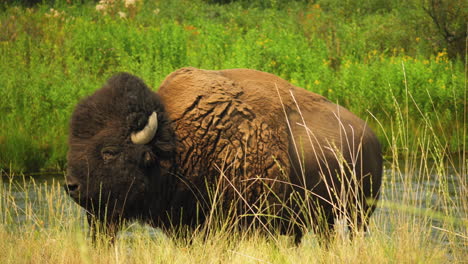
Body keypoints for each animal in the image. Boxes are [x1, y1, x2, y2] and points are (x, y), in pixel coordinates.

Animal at [65, 67, 380, 242]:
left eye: (110, 151)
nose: (72, 186)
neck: (178, 141)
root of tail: (369, 135)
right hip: (327, 218)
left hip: (357, 214)